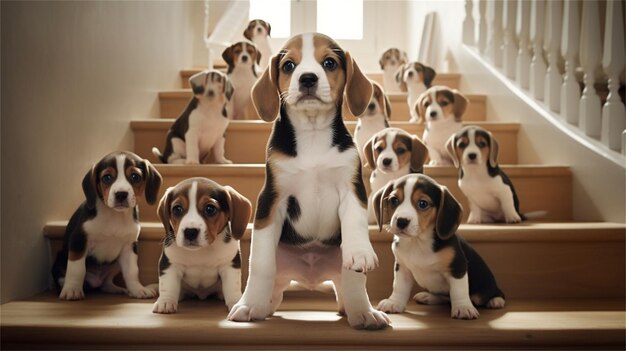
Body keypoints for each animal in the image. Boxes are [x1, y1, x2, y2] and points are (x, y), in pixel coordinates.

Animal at [51, 151, 162, 300]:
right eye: (107, 177)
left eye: (135, 177)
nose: (121, 194)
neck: (114, 215)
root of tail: (95, 281)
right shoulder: (78, 241)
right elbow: (76, 269)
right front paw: (72, 290)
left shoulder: (129, 247)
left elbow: (132, 272)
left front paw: (137, 289)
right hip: (58, 261)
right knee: (64, 276)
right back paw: (66, 286)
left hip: (116, 263)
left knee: (106, 283)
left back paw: (117, 289)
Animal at [153, 179, 251, 314]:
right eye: (177, 209)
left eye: (210, 209)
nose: (190, 232)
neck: (201, 251)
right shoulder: (170, 264)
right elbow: (167, 285)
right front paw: (165, 301)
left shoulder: (229, 265)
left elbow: (232, 286)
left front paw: (236, 302)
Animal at [227, 32, 388, 330]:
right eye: (289, 65)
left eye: (330, 62)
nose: (308, 79)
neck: (312, 132)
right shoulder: (271, 199)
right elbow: (260, 265)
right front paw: (248, 305)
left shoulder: (351, 190)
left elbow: (356, 225)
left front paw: (361, 251)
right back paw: (262, 305)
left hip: (339, 260)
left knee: (351, 282)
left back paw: (363, 313)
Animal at [372, 175, 504, 320]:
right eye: (394, 200)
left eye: (423, 204)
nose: (401, 221)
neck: (418, 242)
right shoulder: (402, 268)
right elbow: (399, 287)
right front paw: (394, 302)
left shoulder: (457, 266)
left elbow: (459, 291)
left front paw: (463, 308)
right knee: (446, 297)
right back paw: (428, 297)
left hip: (483, 291)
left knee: (490, 295)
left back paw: (496, 300)